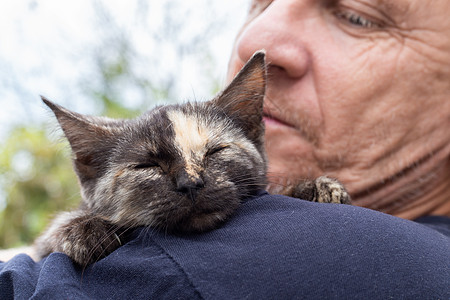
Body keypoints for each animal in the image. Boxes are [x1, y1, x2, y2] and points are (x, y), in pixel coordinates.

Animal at [36, 51, 352, 268]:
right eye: (147, 165)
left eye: (215, 151)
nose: (190, 183)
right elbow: (47, 239)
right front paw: (83, 229)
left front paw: (313, 188)